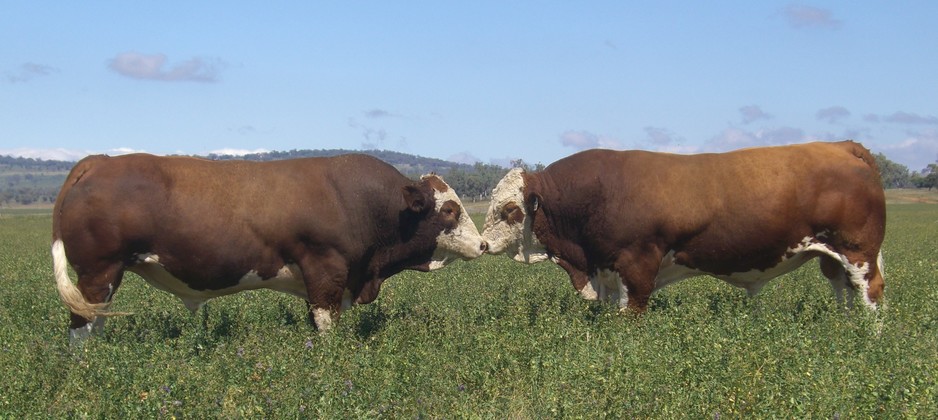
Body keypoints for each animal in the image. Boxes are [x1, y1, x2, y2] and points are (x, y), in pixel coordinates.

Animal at [482, 141, 884, 312]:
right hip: (831, 256)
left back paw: (867, 338)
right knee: (844, 290)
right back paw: (841, 329)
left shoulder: (636, 266)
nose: (483, 245)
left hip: (858, 251)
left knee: (871, 292)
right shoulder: (608, 270)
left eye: (509, 209)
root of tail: (841, 146)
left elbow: (631, 314)